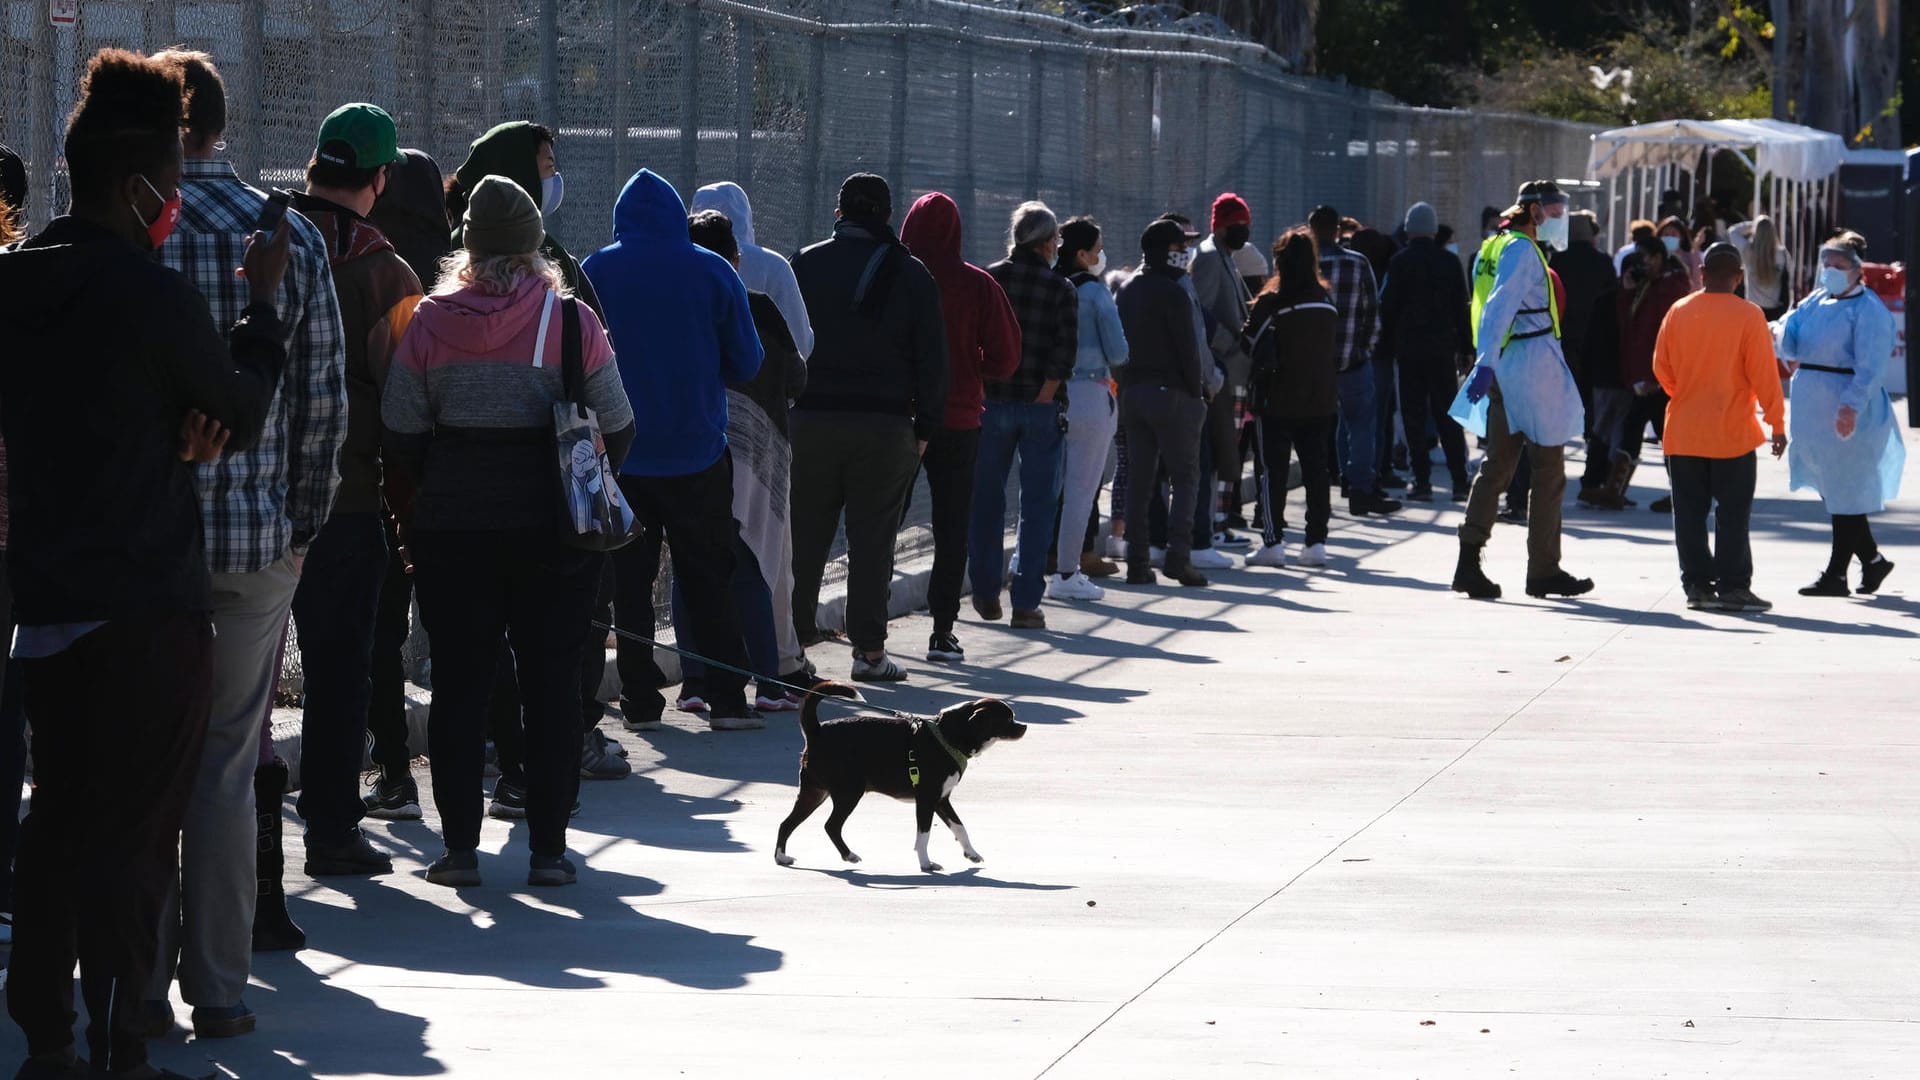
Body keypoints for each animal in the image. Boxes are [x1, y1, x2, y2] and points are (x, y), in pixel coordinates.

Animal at [775, 684, 1029, 868]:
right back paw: (848, 855)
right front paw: (926, 863)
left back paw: (782, 857)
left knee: (786, 823)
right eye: (1007, 719)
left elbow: (960, 828)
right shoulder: (926, 800)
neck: (947, 735)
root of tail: (816, 731)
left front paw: (971, 853)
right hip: (849, 793)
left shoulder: (941, 800)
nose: (1025, 726)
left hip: (814, 793)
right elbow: (924, 835)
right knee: (831, 826)